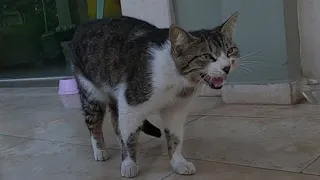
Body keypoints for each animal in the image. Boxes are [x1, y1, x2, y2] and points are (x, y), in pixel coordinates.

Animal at [70, 11, 240, 178]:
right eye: (206, 56)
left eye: (230, 51)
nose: (226, 67)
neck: (176, 78)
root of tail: (84, 25)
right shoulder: (131, 104)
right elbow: (130, 137)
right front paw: (129, 163)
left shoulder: (175, 110)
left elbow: (175, 137)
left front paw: (178, 162)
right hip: (91, 95)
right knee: (94, 124)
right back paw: (100, 150)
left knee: (115, 122)